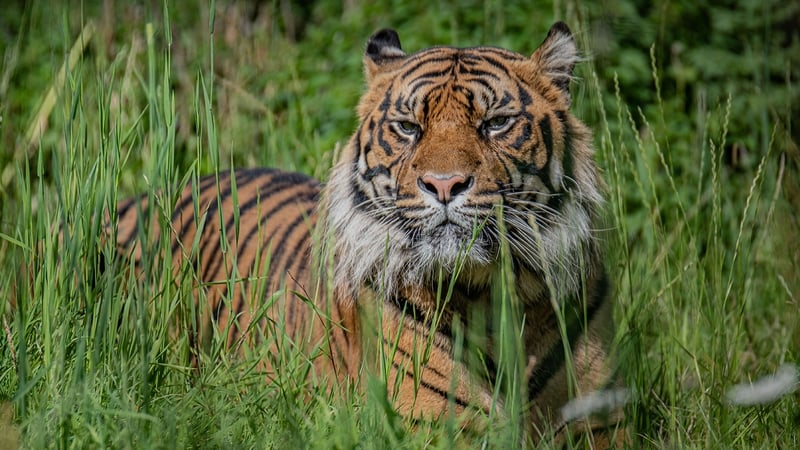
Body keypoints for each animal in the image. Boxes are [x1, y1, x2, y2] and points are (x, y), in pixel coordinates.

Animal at [110, 22, 622, 445]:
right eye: (409, 127)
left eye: (496, 123)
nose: (444, 185)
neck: (491, 293)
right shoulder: (429, 425)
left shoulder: (600, 423)